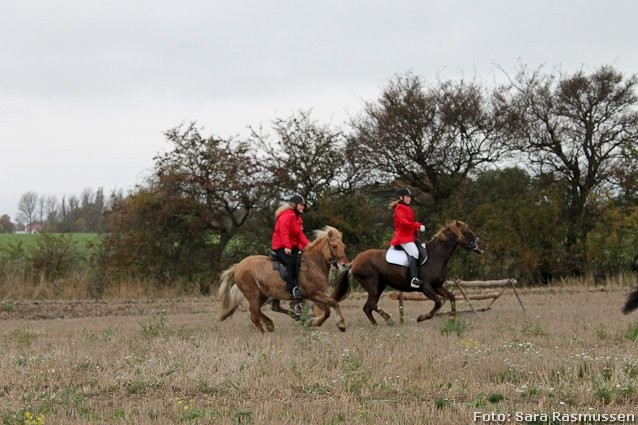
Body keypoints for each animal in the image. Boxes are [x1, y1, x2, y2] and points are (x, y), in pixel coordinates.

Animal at [218, 226, 349, 332]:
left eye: (344, 246)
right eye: (334, 246)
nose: (345, 266)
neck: (314, 263)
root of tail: (238, 266)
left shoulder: (314, 295)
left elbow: (327, 310)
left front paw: (312, 322)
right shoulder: (313, 293)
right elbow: (333, 303)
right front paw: (340, 324)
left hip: (263, 295)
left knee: (261, 310)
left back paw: (273, 324)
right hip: (254, 295)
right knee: (254, 315)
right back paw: (264, 334)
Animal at [330, 220, 486, 325]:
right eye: (468, 232)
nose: (483, 247)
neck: (435, 255)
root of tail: (353, 262)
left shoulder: (437, 286)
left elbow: (451, 297)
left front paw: (453, 317)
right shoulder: (426, 287)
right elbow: (438, 302)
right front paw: (422, 317)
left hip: (379, 286)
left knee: (368, 307)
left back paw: (377, 324)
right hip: (373, 285)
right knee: (370, 305)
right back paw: (388, 319)